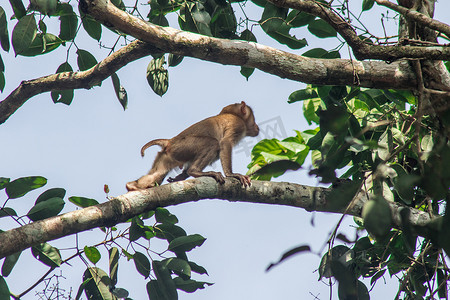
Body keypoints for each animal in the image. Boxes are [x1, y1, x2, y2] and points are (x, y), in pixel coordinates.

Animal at [126, 100, 260, 190]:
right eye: (253, 119)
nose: (257, 127)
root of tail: (169, 141)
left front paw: (179, 177)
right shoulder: (238, 125)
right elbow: (225, 143)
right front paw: (232, 175)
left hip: (166, 156)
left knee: (156, 174)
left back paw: (132, 186)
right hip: (182, 146)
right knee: (213, 143)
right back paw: (195, 171)